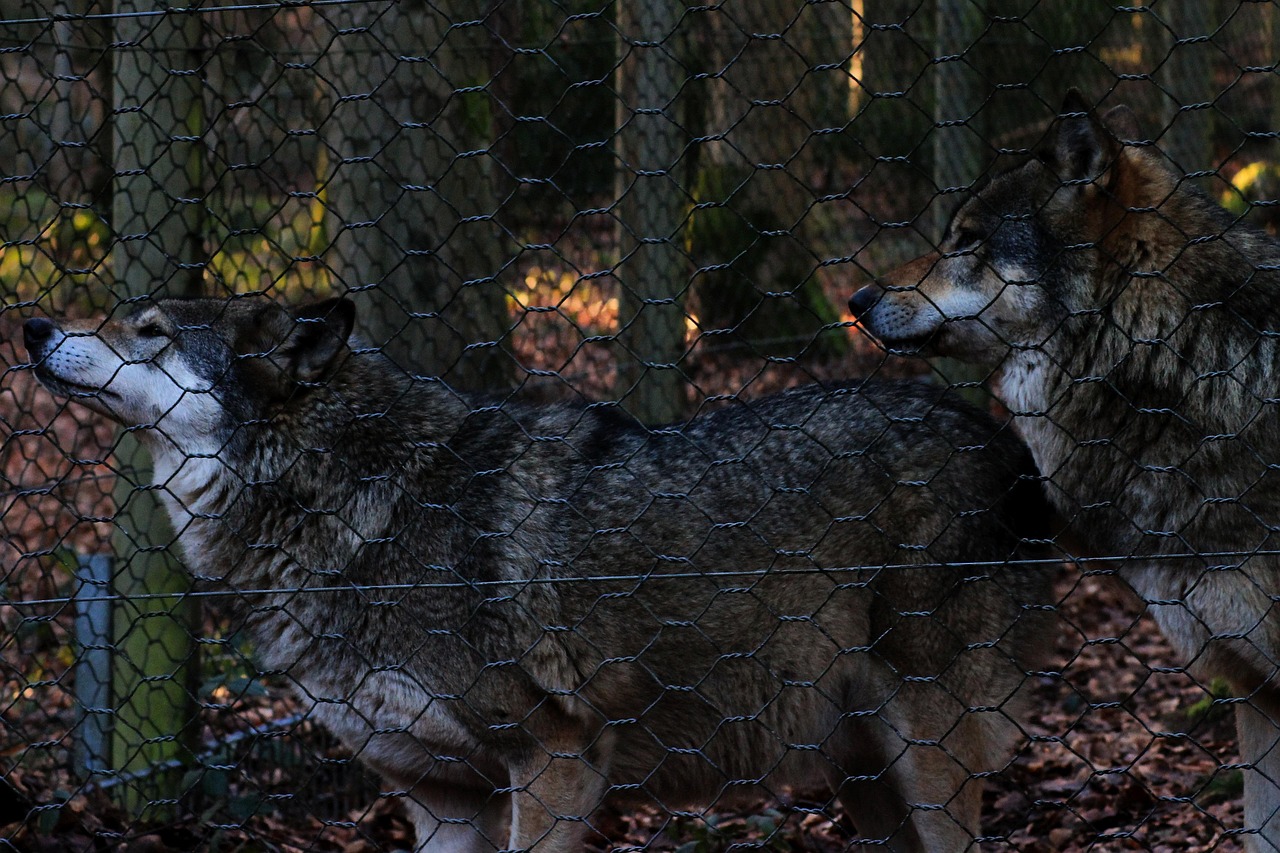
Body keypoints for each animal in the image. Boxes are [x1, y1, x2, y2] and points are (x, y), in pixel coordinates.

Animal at [21, 295, 1052, 852]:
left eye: (150, 328)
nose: (30, 324)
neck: (352, 503)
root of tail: (1002, 443)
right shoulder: (441, 800)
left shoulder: (556, 758)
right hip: (865, 779)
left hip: (927, 753)